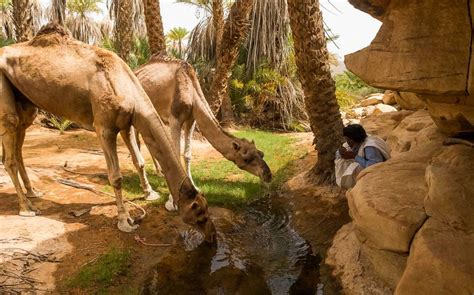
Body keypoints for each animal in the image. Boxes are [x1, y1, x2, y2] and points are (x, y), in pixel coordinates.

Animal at [0, 23, 215, 243]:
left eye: (207, 210)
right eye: (200, 215)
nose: (213, 237)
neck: (124, 83)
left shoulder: (127, 123)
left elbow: (139, 161)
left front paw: (150, 193)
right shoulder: (104, 128)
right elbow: (116, 177)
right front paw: (125, 221)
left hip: (25, 102)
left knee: (18, 143)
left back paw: (33, 192)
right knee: (9, 143)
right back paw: (27, 208)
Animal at [134, 55, 274, 197]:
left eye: (261, 153)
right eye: (246, 159)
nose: (268, 175)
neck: (191, 91)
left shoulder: (191, 120)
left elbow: (187, 154)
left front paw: (193, 186)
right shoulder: (175, 118)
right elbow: (175, 153)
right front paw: (173, 195)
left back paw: (159, 172)